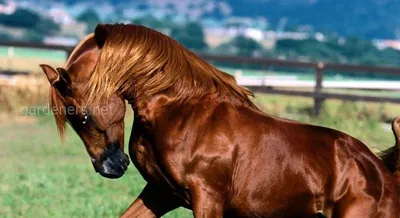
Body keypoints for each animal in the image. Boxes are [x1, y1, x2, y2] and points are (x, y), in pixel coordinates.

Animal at [40, 23, 400, 217]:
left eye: (81, 115)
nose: (110, 167)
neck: (179, 112)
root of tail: (380, 172)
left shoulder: (207, 197)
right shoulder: (161, 193)